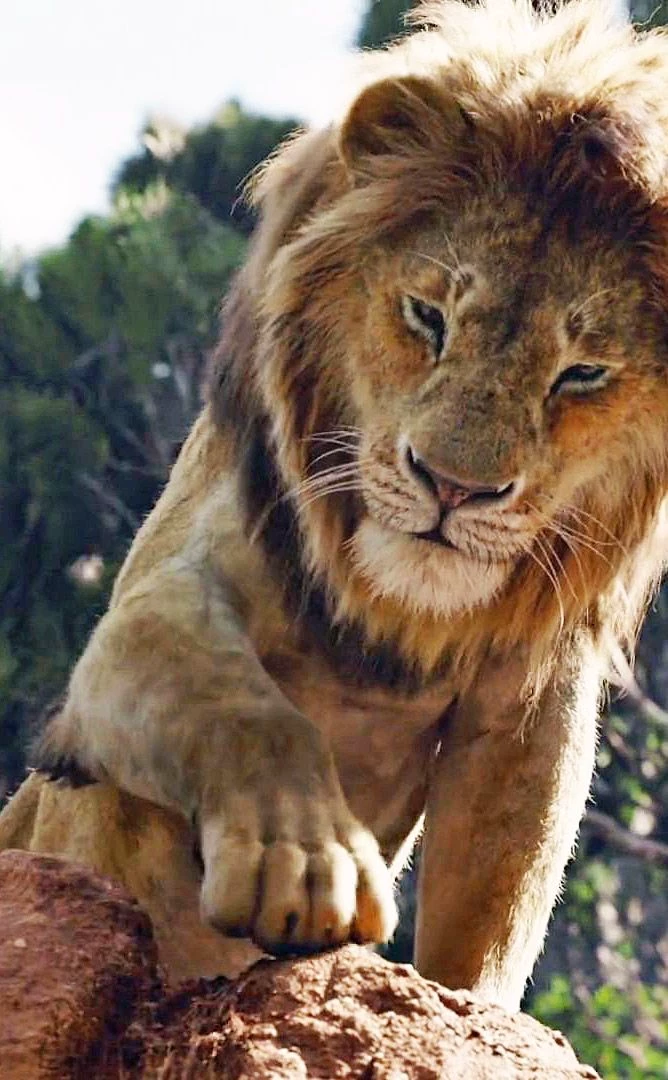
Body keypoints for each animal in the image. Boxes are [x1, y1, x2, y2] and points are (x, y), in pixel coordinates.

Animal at [3, 0, 668, 1008]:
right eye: (427, 317)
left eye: (583, 374)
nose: (453, 486)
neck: (398, 609)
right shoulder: (160, 597)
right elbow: (249, 711)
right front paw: (304, 863)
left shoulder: (530, 691)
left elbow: (494, 901)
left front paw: (464, 1013)